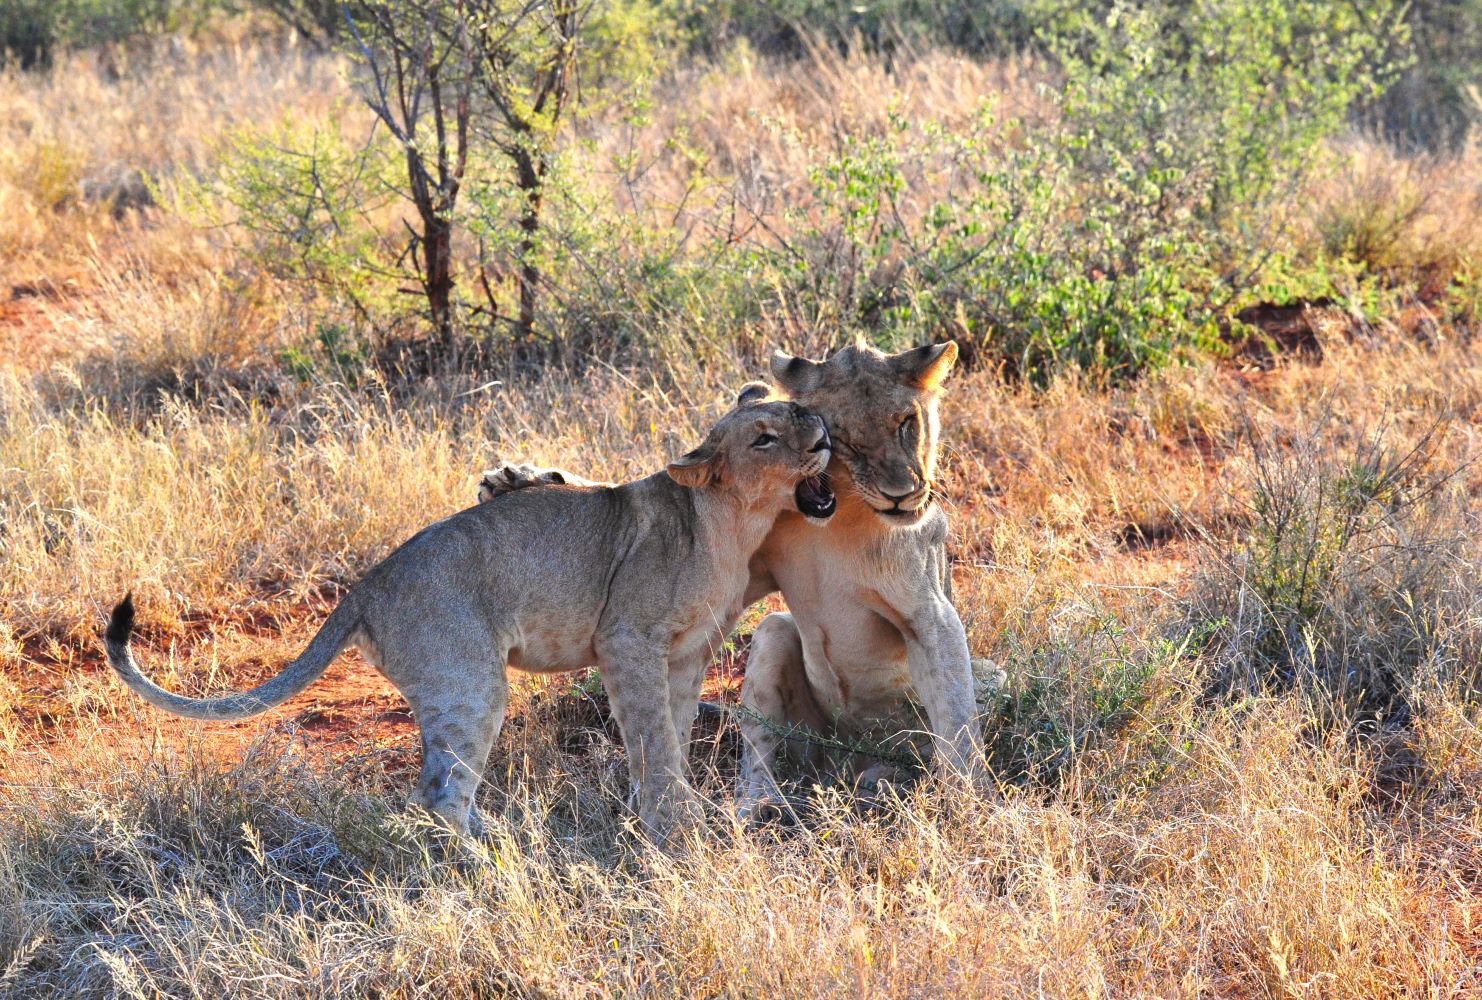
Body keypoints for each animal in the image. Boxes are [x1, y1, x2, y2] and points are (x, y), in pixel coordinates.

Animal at [104, 396, 836, 842]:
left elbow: (667, 735)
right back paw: (497, 861)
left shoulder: (684, 656)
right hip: (469, 681)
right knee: (436, 797)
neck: (734, 524)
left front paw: (663, 811)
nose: (825, 434)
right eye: (765, 437)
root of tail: (368, 585)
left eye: (796, 409)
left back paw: (508, 840)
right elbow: (654, 738)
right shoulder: (626, 639)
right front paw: (669, 825)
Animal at [481, 341, 996, 816]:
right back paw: (759, 803)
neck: (844, 515)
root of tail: (855, 759)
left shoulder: (931, 612)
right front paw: (516, 479)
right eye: (846, 439)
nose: (901, 496)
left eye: (905, 422)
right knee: (759, 742)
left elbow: (958, 717)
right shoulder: (745, 561)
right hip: (778, 646)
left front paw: (974, 800)